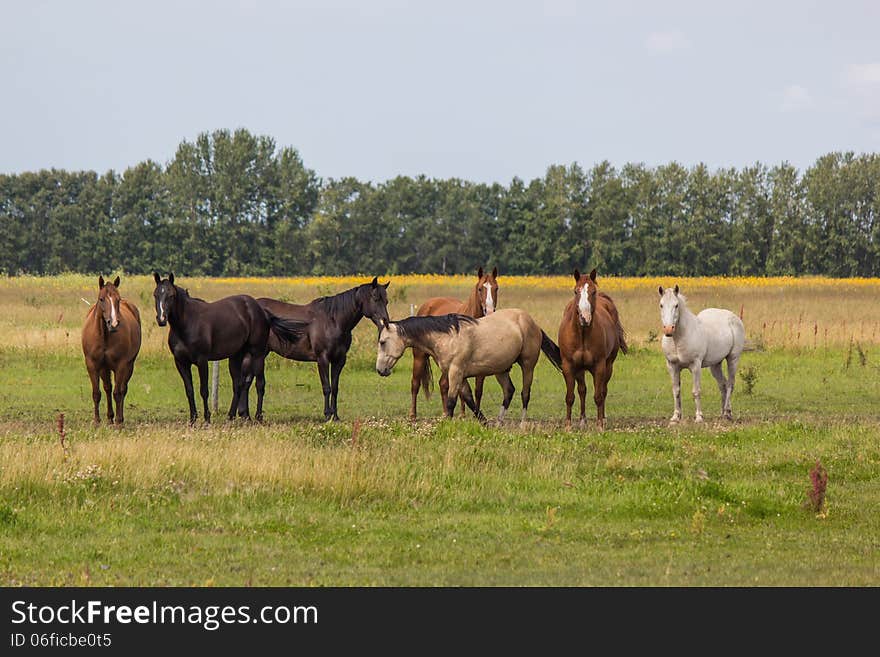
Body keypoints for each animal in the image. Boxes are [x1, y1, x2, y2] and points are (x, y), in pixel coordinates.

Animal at [81, 272, 141, 422]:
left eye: (118, 300)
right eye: (101, 299)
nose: (113, 323)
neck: (104, 336)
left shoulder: (121, 365)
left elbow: (118, 393)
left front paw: (119, 421)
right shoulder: (93, 365)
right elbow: (97, 393)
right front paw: (97, 421)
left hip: (129, 366)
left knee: (123, 389)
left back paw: (119, 418)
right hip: (104, 368)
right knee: (107, 388)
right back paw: (109, 417)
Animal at [256, 276, 390, 420]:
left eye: (386, 301)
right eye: (375, 298)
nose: (385, 323)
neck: (333, 321)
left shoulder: (339, 360)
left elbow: (335, 388)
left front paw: (335, 416)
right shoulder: (322, 359)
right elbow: (327, 387)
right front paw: (327, 415)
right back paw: (258, 416)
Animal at [556, 268, 624, 430]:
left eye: (593, 291)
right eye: (576, 291)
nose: (584, 318)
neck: (582, 335)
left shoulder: (599, 367)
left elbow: (598, 396)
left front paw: (599, 425)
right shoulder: (569, 366)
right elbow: (570, 396)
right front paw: (568, 425)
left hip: (608, 366)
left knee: (603, 390)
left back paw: (603, 419)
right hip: (580, 369)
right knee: (582, 390)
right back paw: (582, 420)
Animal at [660, 284, 744, 422]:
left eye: (676, 305)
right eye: (661, 305)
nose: (668, 330)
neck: (679, 338)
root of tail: (735, 318)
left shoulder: (695, 366)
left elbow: (696, 391)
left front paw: (699, 417)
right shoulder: (672, 366)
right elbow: (676, 391)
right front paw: (676, 417)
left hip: (733, 359)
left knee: (730, 384)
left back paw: (726, 413)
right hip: (715, 365)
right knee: (723, 384)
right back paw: (724, 412)